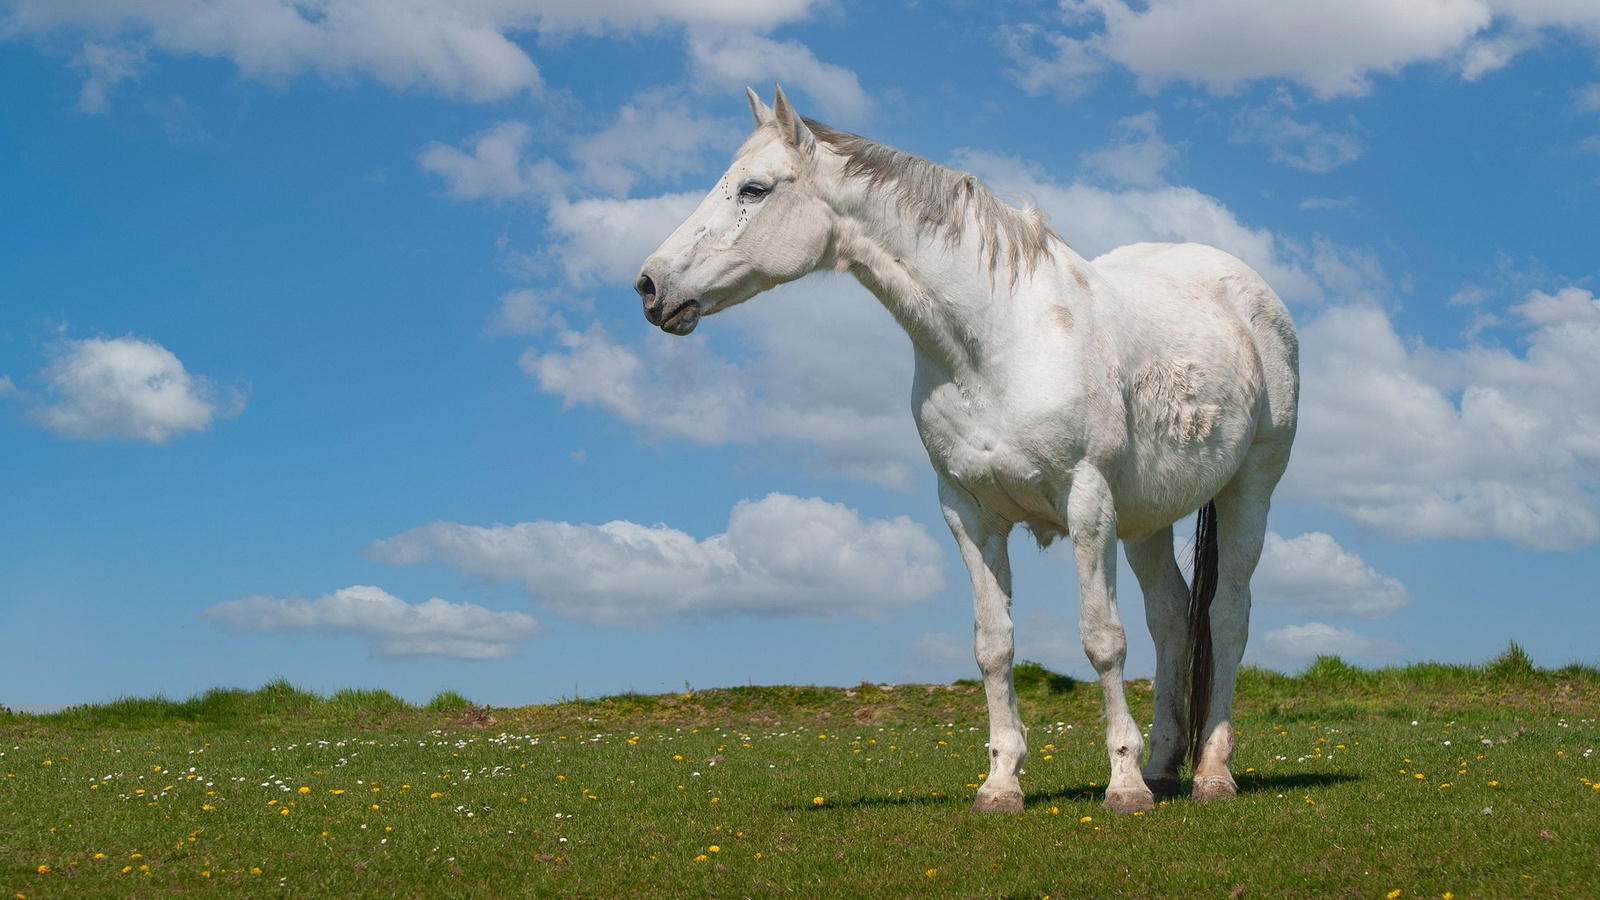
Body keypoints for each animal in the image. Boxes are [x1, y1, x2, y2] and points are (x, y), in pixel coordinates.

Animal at [635, 87, 1298, 814]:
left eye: (753, 188)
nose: (650, 285)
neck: (996, 343)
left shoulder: (1087, 502)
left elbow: (1102, 639)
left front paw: (1121, 786)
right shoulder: (969, 514)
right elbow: (994, 646)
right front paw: (1002, 783)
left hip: (1249, 491)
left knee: (1226, 617)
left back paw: (1211, 772)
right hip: (1146, 520)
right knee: (1174, 621)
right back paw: (1163, 766)